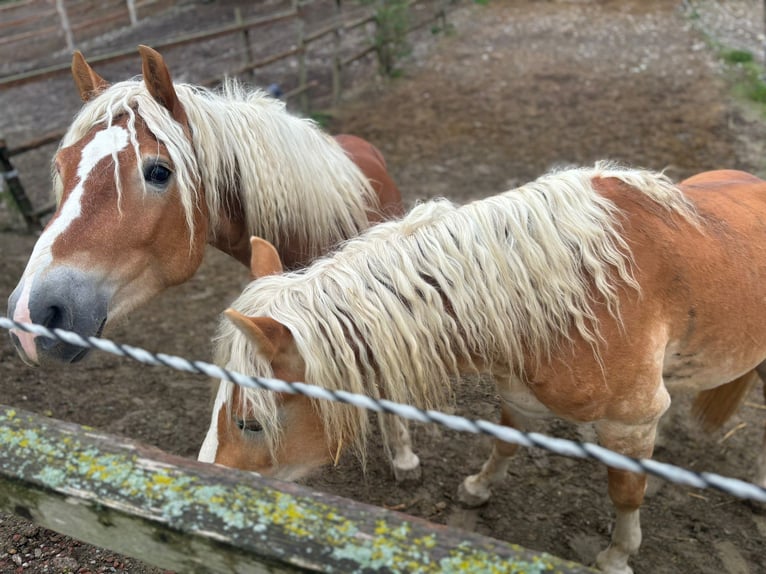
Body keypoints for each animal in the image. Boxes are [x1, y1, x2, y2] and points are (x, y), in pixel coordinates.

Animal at [201, 163, 766, 574]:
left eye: (250, 423)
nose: (209, 481)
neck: (569, 296)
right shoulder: (519, 392)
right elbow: (505, 442)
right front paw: (478, 488)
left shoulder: (628, 418)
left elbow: (626, 493)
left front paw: (616, 556)